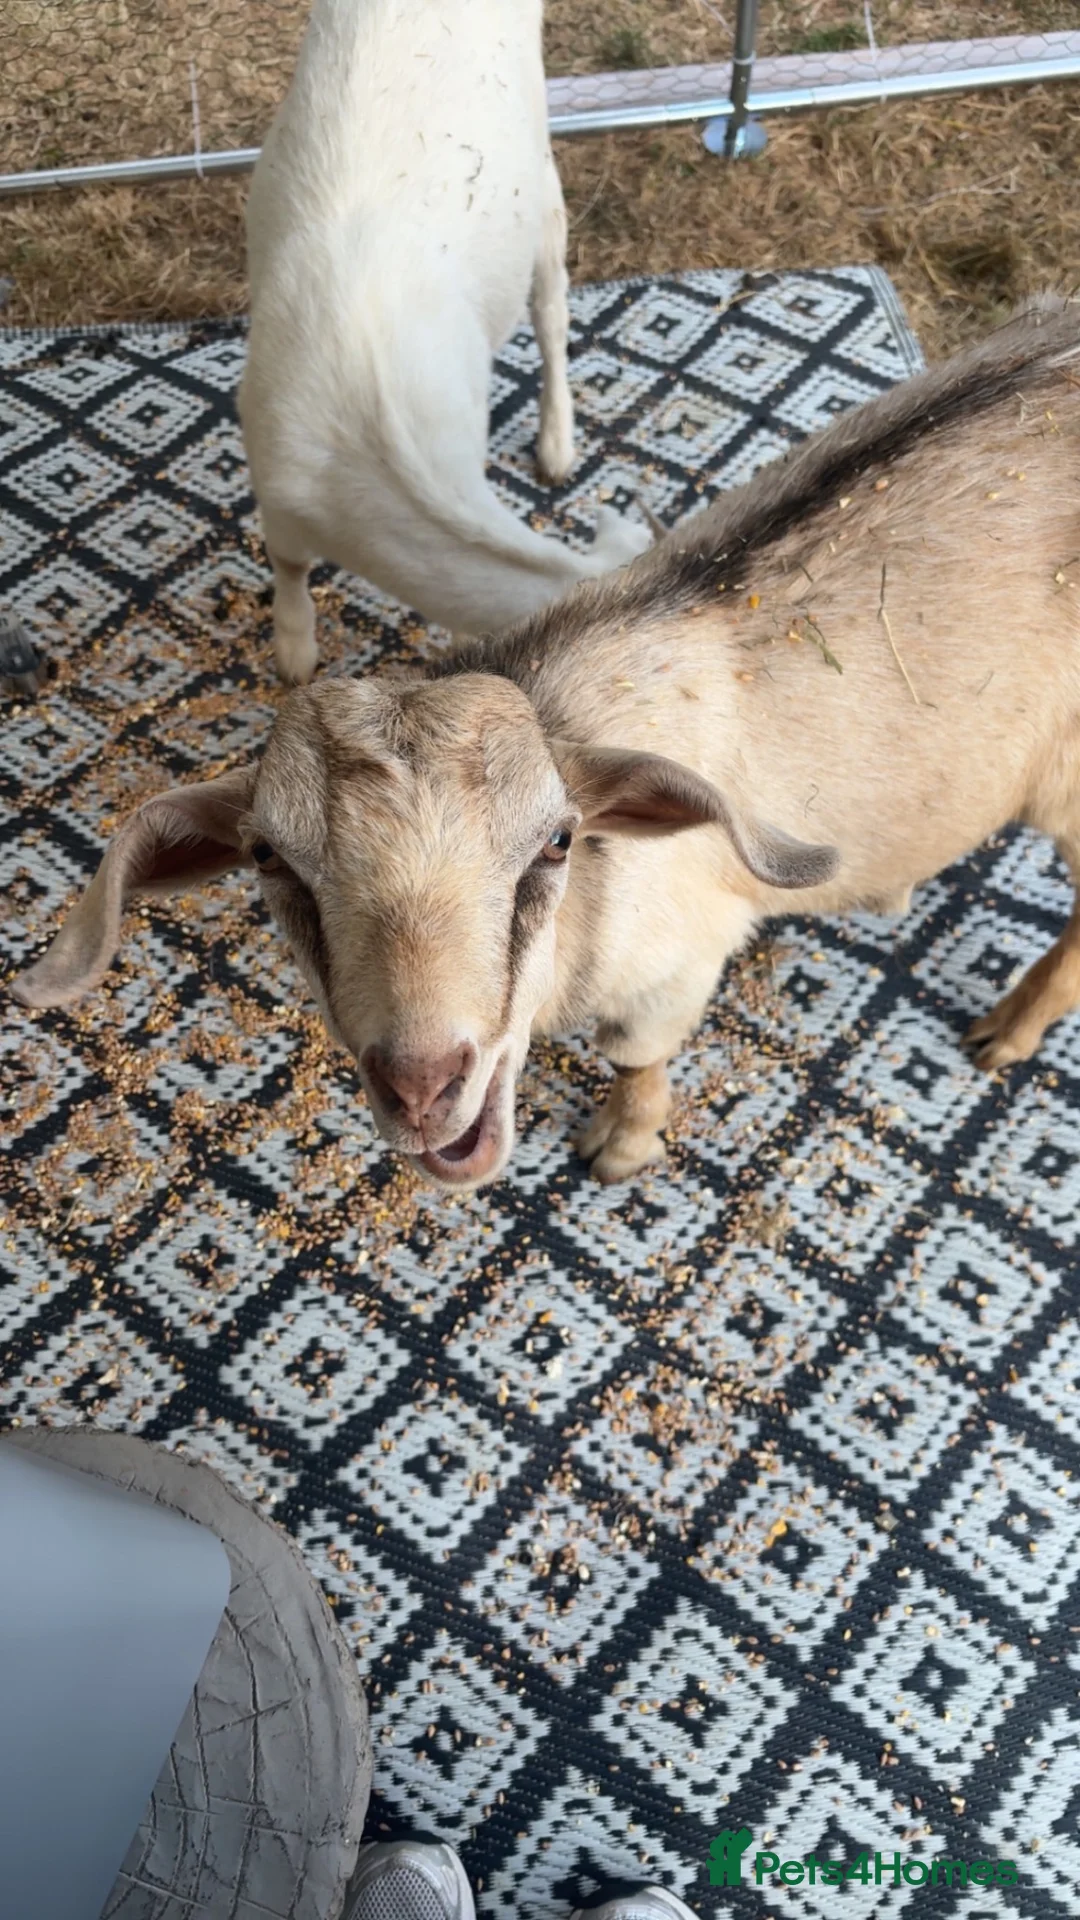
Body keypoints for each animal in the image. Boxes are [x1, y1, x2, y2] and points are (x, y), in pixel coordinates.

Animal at [16, 297, 1080, 1189]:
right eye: (270, 859)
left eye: (557, 842)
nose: (422, 1085)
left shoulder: (682, 961)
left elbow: (638, 1058)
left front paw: (623, 1145)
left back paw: (1007, 1032)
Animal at [237, 0, 651, 686]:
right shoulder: (276, 486)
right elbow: (289, 565)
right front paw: (294, 652)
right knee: (552, 306)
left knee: (551, 312)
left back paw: (557, 445)